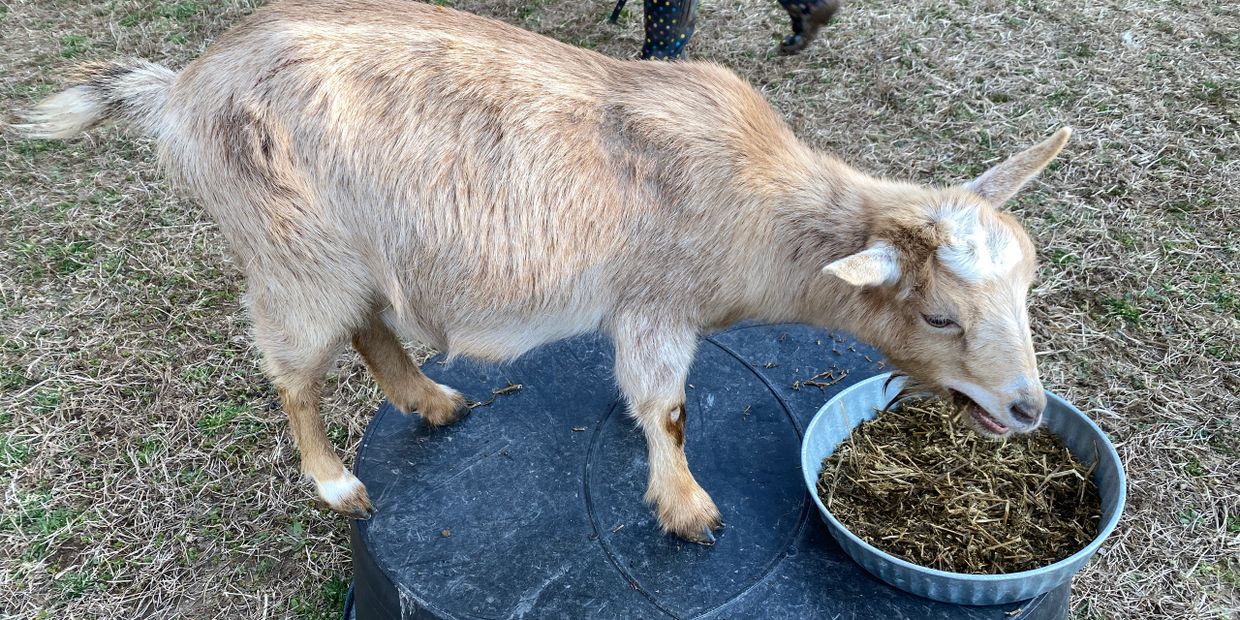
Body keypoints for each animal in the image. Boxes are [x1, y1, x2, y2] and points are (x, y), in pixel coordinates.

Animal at [15, 0, 1069, 543]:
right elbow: (668, 407)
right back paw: (336, 485)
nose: (1026, 409)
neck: (754, 203)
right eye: (939, 316)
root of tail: (179, 93)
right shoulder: (656, 303)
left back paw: (433, 402)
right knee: (295, 372)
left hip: (348, 252)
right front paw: (687, 510)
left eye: (1025, 288)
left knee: (369, 325)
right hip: (291, 252)